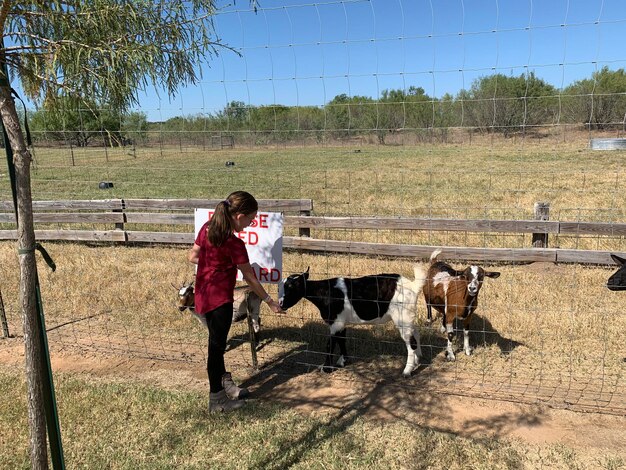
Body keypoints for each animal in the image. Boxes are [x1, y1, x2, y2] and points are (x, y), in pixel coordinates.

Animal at [280, 264, 426, 378]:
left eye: (292, 287)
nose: (281, 305)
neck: (326, 292)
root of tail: (412, 286)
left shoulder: (336, 322)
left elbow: (330, 344)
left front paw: (326, 368)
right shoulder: (341, 323)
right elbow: (342, 340)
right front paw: (342, 361)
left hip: (402, 317)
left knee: (411, 342)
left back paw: (407, 371)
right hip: (409, 316)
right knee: (416, 333)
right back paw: (418, 359)